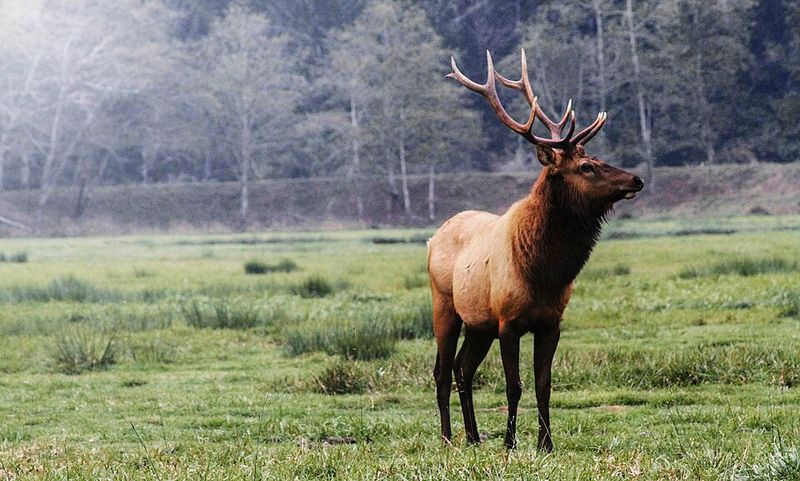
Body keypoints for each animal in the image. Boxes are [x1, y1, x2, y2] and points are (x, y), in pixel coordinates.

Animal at [427, 50, 644, 452]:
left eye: (597, 156)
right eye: (586, 166)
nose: (637, 179)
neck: (543, 273)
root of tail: (434, 237)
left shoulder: (550, 323)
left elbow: (544, 384)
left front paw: (546, 443)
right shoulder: (508, 321)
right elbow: (514, 385)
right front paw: (510, 442)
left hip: (479, 323)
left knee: (463, 369)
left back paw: (474, 437)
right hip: (445, 305)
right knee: (442, 370)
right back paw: (448, 437)